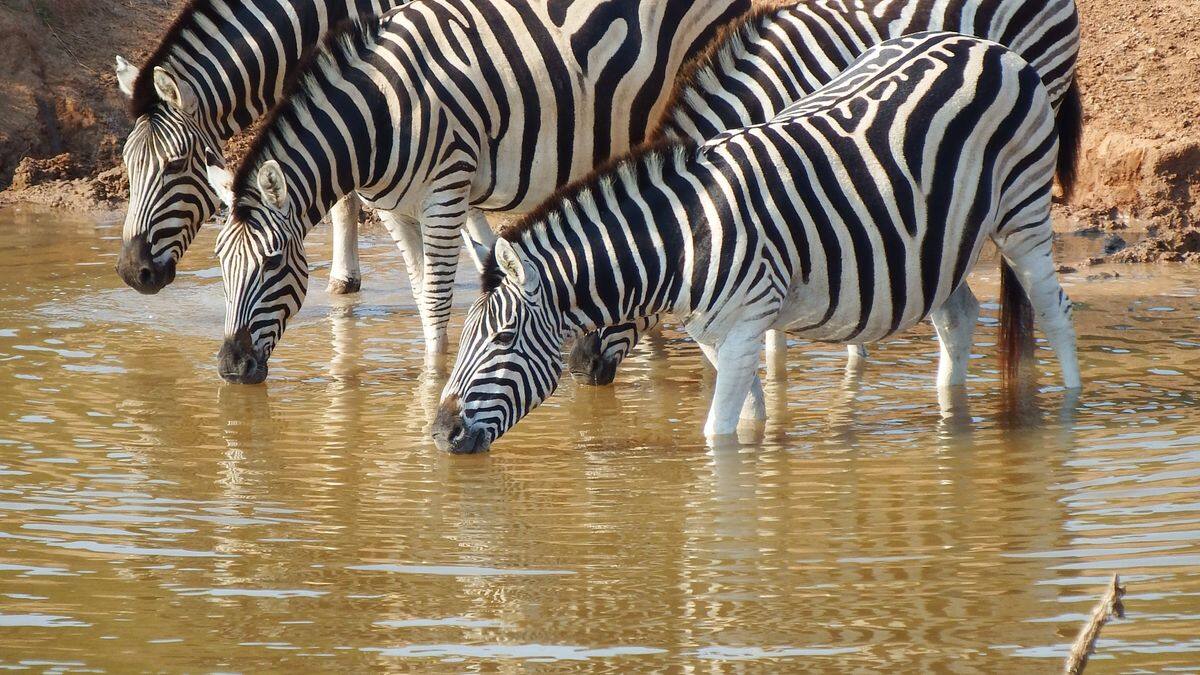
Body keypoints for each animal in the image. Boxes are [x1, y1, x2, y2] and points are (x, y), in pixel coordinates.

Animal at [207, 0, 750, 384]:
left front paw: (432, 383)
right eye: (220, 264)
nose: (231, 367)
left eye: (273, 262)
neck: (380, 114)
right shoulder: (395, 210)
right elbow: (421, 295)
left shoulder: (446, 192)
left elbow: (436, 300)